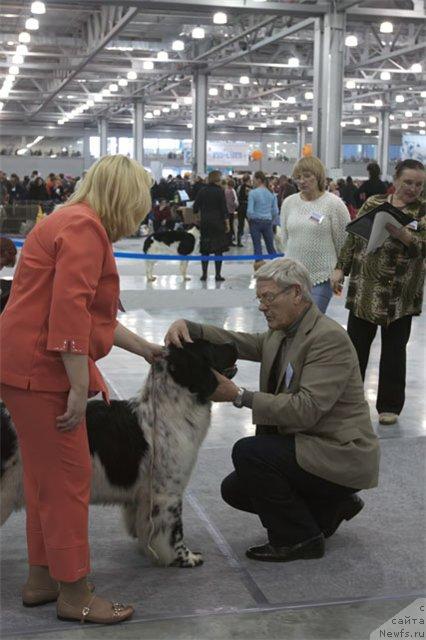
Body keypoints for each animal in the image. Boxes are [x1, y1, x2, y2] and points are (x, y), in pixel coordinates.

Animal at [0, 340, 238, 568]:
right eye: (209, 346)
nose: (233, 344)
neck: (170, 407)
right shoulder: (167, 492)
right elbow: (174, 530)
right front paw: (186, 558)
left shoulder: (145, 496)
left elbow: (145, 526)